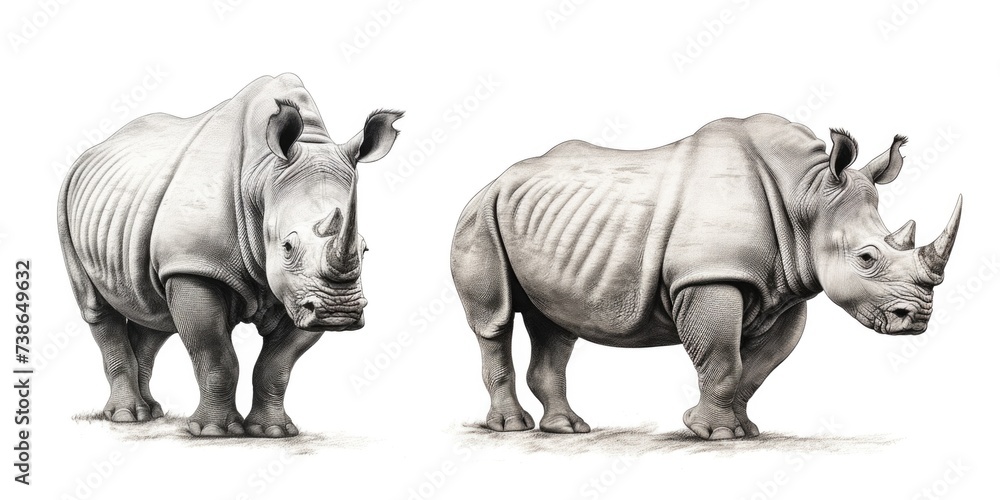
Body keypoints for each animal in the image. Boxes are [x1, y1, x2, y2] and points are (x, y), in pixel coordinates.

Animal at [57, 74, 402, 437]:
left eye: (364, 248)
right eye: (288, 247)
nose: (339, 312)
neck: (262, 177)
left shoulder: (301, 296)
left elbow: (277, 365)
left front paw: (273, 432)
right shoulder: (194, 265)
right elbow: (216, 356)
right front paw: (212, 431)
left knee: (153, 312)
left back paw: (150, 411)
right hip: (67, 199)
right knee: (97, 307)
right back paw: (127, 416)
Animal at [450, 113, 961, 439]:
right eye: (867, 258)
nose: (917, 319)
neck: (806, 196)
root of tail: (495, 179)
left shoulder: (785, 289)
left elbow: (756, 367)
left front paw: (744, 430)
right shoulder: (709, 277)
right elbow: (721, 358)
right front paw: (713, 433)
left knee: (555, 324)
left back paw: (567, 428)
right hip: (480, 216)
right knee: (494, 320)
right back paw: (512, 427)